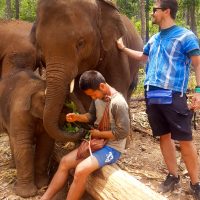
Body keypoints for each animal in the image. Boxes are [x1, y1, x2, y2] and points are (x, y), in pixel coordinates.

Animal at [31, 0, 143, 141]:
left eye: (80, 43)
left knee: (128, 92)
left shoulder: (116, 53)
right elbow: (83, 95)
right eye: (40, 45)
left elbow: (118, 87)